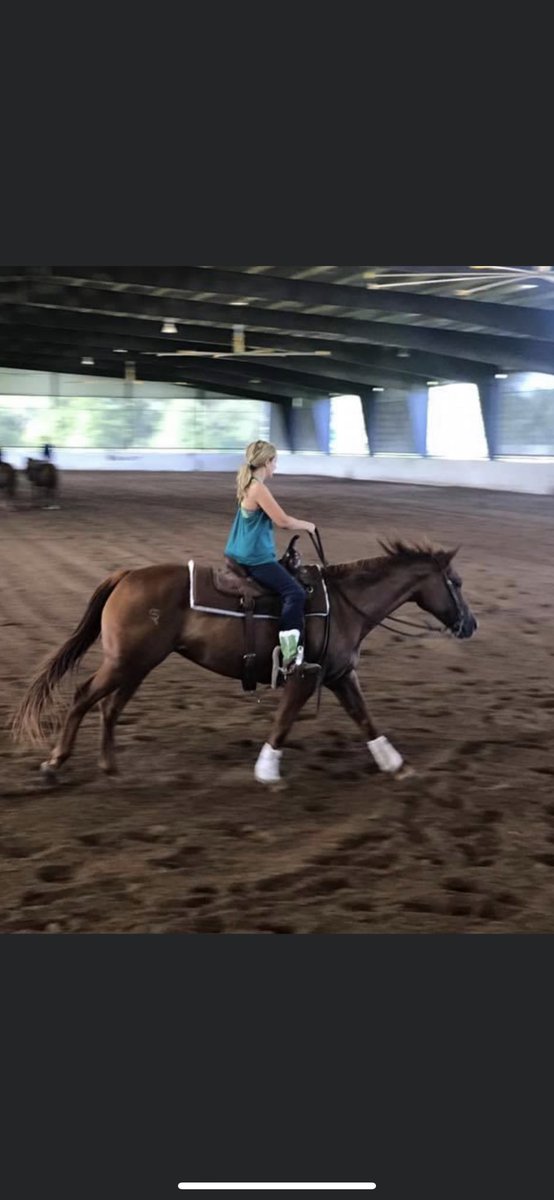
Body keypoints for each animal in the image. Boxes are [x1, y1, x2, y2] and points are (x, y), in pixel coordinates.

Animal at [10, 539, 477, 787]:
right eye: (455, 582)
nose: (470, 624)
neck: (345, 604)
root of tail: (126, 576)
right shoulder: (305, 676)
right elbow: (285, 721)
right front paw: (267, 771)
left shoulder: (340, 674)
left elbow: (364, 717)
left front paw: (395, 764)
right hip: (125, 662)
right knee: (84, 696)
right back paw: (54, 763)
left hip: (138, 664)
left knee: (110, 707)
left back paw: (109, 766)